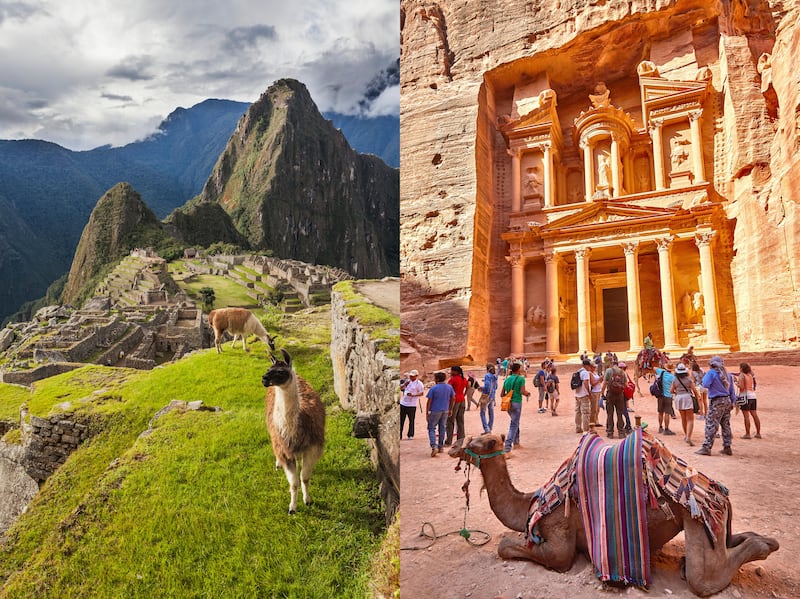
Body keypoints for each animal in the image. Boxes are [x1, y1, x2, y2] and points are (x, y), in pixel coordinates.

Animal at [450, 432, 780, 596]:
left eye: (476, 442)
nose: (453, 445)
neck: (533, 502)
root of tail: (716, 491)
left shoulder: (559, 535)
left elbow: (509, 547)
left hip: (696, 517)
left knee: (702, 579)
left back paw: (765, 546)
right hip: (717, 518)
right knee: (728, 541)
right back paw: (764, 540)